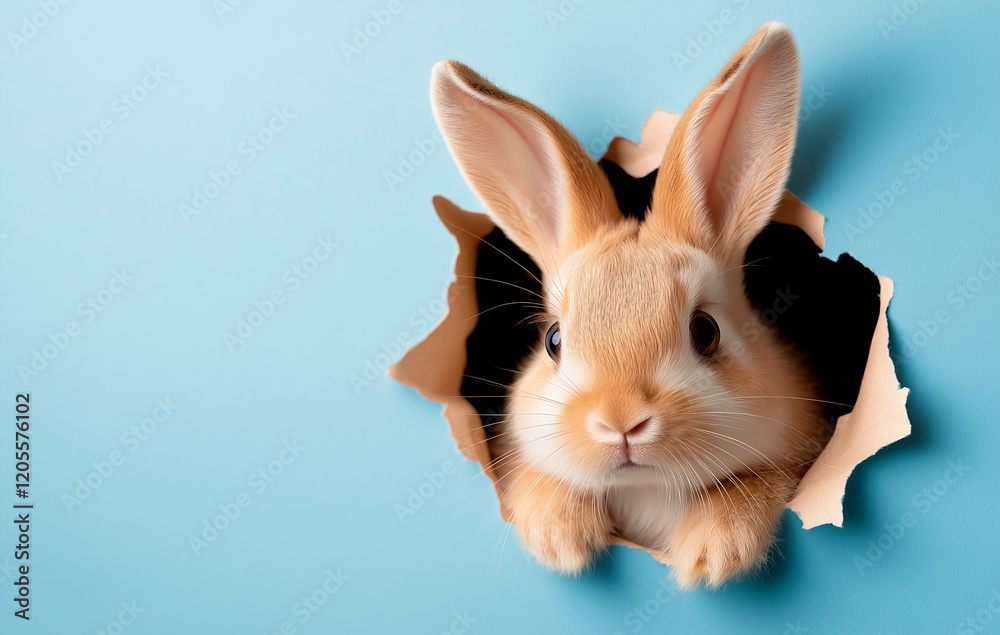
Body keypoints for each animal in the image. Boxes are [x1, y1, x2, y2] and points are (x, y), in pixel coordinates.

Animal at [430, 22, 829, 589]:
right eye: (553, 340)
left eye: (706, 331)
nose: (620, 423)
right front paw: (559, 538)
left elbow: (753, 485)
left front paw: (712, 553)